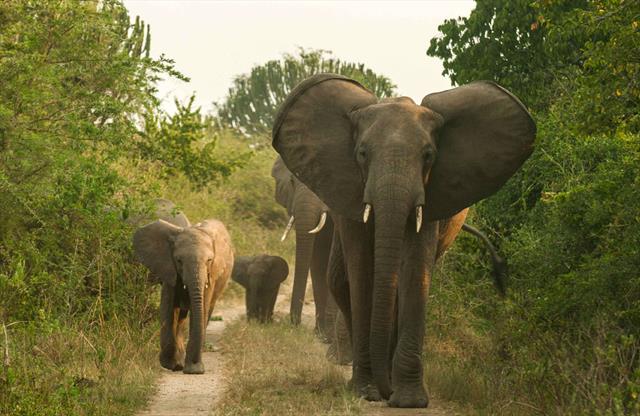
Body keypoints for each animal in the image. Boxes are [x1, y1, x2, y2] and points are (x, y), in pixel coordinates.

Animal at [134, 218, 234, 374]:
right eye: (179, 260)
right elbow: (167, 310)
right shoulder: (169, 270)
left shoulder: (211, 275)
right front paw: (171, 365)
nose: (196, 368)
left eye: (209, 260)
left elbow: (201, 310)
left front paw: (193, 370)